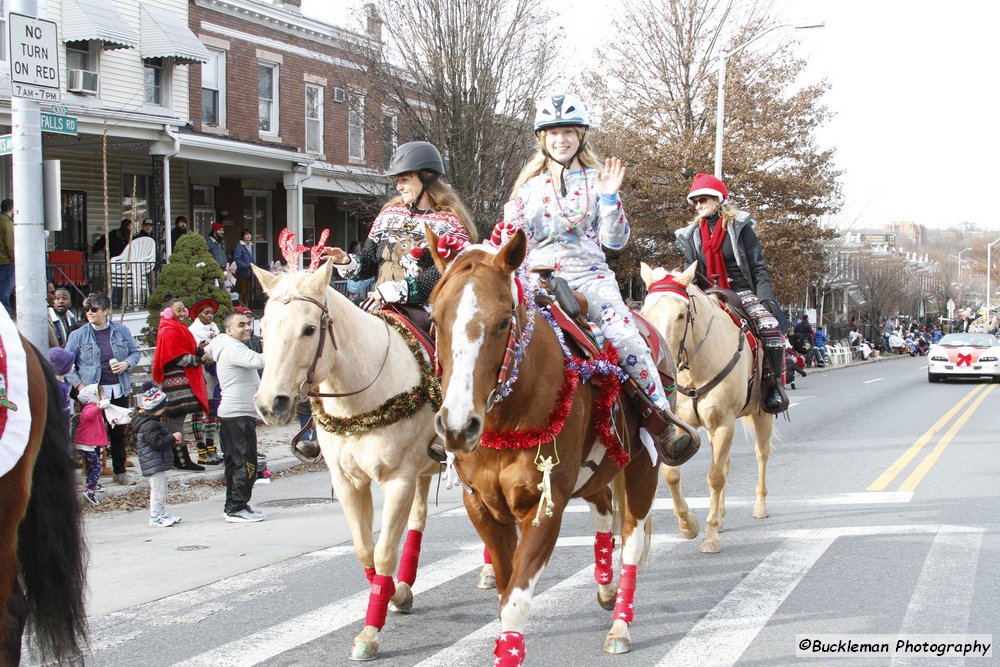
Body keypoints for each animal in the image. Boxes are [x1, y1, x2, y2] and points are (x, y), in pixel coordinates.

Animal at [250, 260, 442, 664]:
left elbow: (383, 553)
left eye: (309, 329)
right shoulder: (348, 481)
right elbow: (365, 550)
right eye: (265, 326)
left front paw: (370, 634)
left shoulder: (398, 480)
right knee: (418, 521)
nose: (270, 404)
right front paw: (395, 596)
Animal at [426, 228, 660, 664]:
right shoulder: (482, 506)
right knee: (604, 510)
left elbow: (516, 601)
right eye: (434, 319)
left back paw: (620, 624)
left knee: (633, 542)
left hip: (643, 470)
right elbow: (504, 590)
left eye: (503, 321)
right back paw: (605, 586)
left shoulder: (544, 506)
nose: (458, 426)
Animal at [640, 260, 772, 552]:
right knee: (727, 463)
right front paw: (688, 525)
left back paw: (759, 506)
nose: (661, 361)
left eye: (681, 314)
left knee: (761, 455)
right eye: (645, 311)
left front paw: (710, 536)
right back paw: (721, 516)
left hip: (762, 414)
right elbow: (671, 474)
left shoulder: (723, 423)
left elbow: (714, 477)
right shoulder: (682, 426)